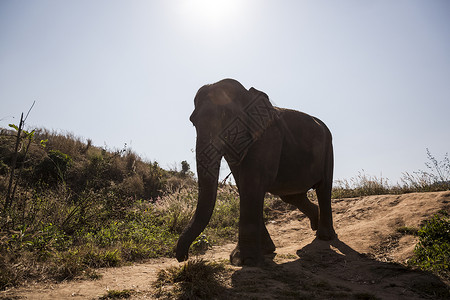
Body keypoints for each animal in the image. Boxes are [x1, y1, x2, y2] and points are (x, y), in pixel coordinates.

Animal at [174, 78, 336, 266]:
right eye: (193, 121)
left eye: (226, 115)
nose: (183, 258)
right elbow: (244, 186)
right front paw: (266, 251)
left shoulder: (267, 138)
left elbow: (251, 185)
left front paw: (243, 260)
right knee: (292, 196)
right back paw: (315, 224)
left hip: (328, 148)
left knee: (323, 188)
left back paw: (325, 236)